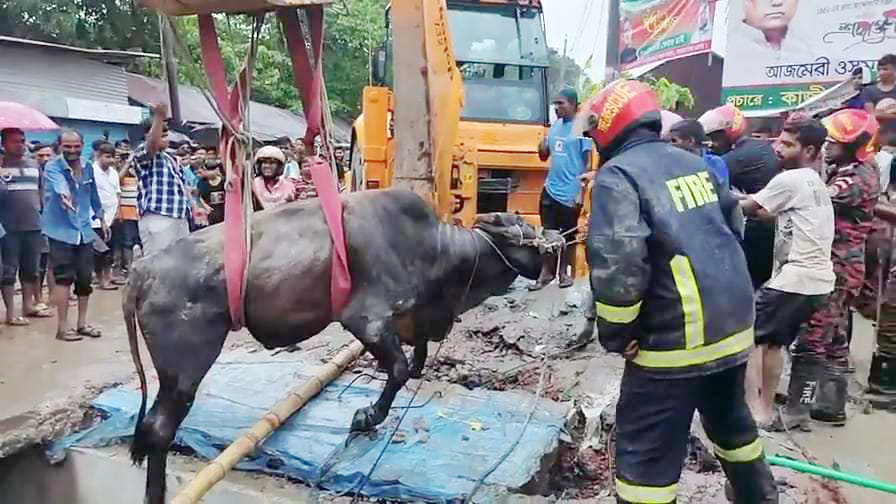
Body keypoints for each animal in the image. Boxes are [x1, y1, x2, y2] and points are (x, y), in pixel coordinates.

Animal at [122, 187, 548, 502]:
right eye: (524, 234)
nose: (553, 248)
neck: (437, 252)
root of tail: (141, 270)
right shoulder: (368, 319)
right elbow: (398, 370)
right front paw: (366, 417)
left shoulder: (411, 320)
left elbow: (418, 357)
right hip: (185, 368)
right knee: (158, 429)